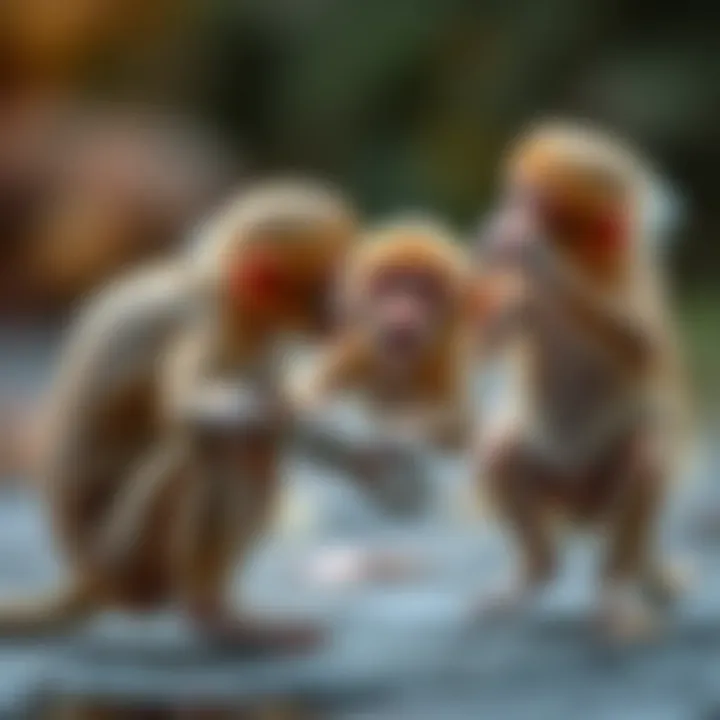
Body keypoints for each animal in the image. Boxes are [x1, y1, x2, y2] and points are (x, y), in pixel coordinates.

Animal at [0, 179, 358, 651]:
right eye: (331, 283)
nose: (345, 311)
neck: (231, 304)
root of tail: (90, 573)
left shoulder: (257, 345)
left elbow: (271, 412)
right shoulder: (206, 329)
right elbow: (197, 412)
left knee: (253, 458)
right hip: (127, 555)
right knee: (212, 450)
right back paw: (211, 612)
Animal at [471, 120, 690, 640]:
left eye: (533, 203)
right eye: (513, 193)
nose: (505, 212)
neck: (586, 262)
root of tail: (581, 508)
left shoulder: (625, 282)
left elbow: (642, 349)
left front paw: (537, 254)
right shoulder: (524, 302)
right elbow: (488, 338)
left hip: (603, 491)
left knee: (643, 459)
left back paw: (615, 587)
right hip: (556, 481)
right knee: (502, 453)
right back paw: (535, 571)